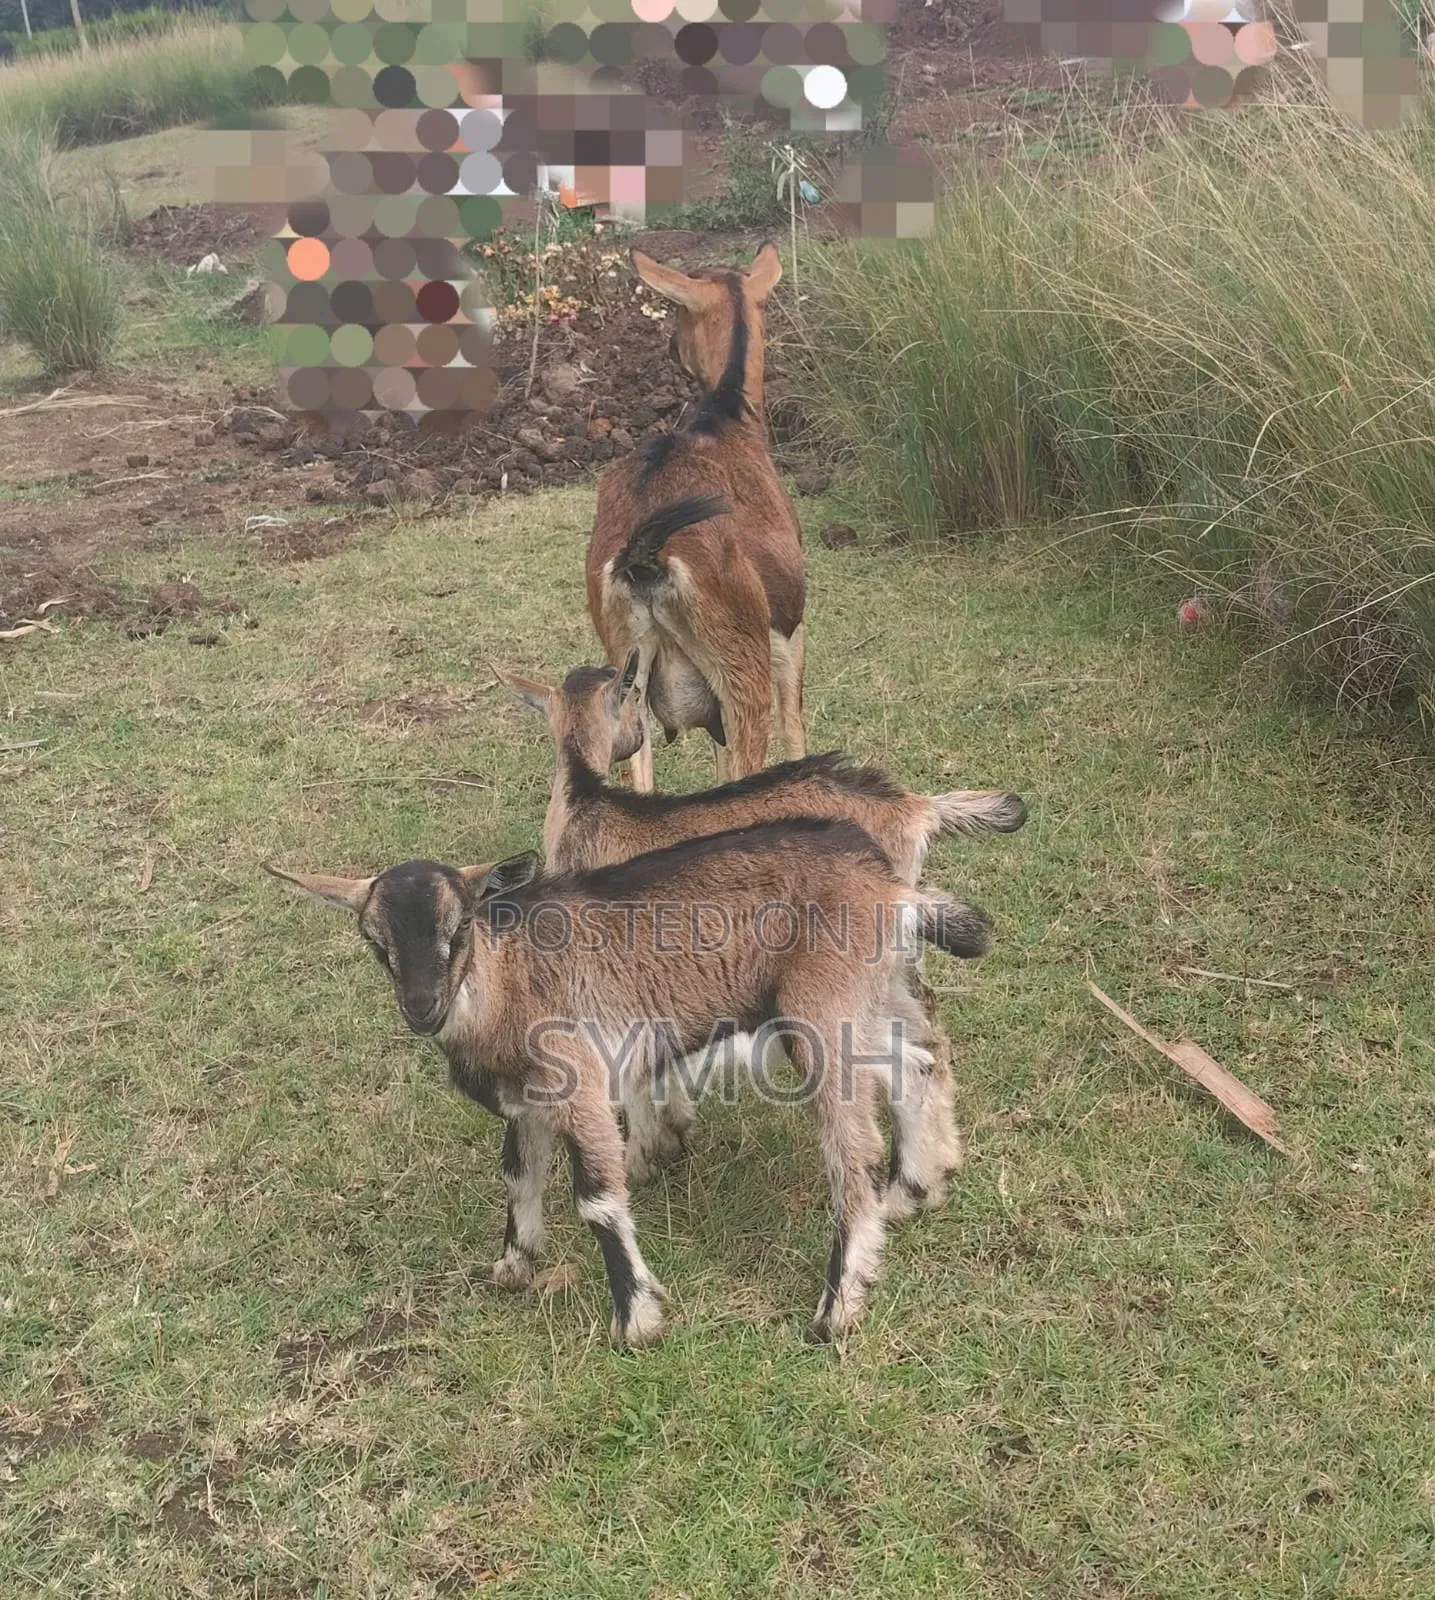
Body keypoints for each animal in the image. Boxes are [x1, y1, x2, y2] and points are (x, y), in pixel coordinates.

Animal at [267, 818, 993, 1346]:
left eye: (462, 924)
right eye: (375, 942)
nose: (424, 1008)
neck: (509, 983)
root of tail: (890, 889)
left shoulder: (581, 1087)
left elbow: (596, 1201)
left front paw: (637, 1320)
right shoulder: (525, 1106)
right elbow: (518, 1176)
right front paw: (513, 1267)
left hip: (820, 1014)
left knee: (852, 1151)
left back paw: (837, 1307)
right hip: (866, 1003)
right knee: (917, 1064)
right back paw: (914, 1191)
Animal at [585, 242, 805, 793]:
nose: (669, 347)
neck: (727, 415)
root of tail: (646, 554)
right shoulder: (790, 634)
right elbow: (796, 729)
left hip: (628, 674)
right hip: (742, 674)